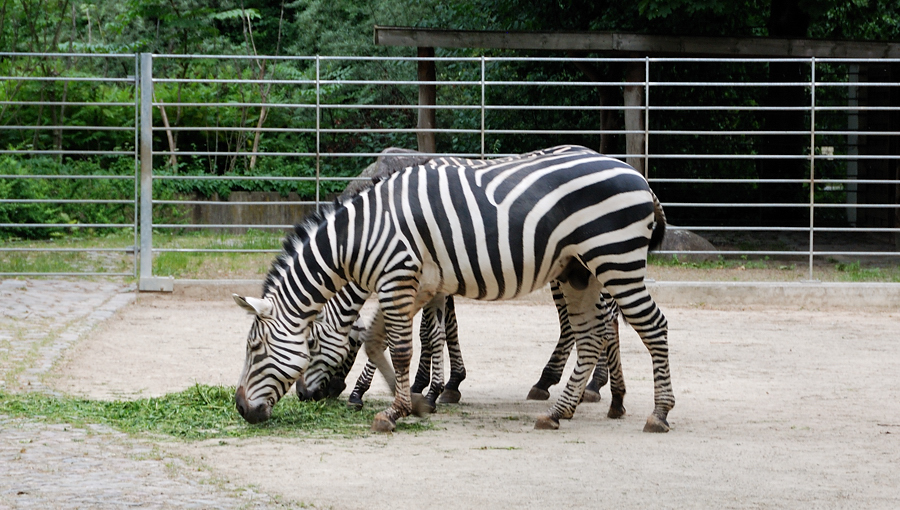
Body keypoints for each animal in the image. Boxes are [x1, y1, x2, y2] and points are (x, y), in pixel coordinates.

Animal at [232, 145, 668, 432]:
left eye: (254, 348)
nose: (240, 409)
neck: (360, 237)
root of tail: (639, 177)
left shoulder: (398, 278)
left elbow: (410, 343)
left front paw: (406, 403)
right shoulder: (421, 285)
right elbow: (407, 336)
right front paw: (419, 397)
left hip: (614, 260)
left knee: (650, 325)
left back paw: (655, 412)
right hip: (580, 271)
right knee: (593, 334)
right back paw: (568, 408)